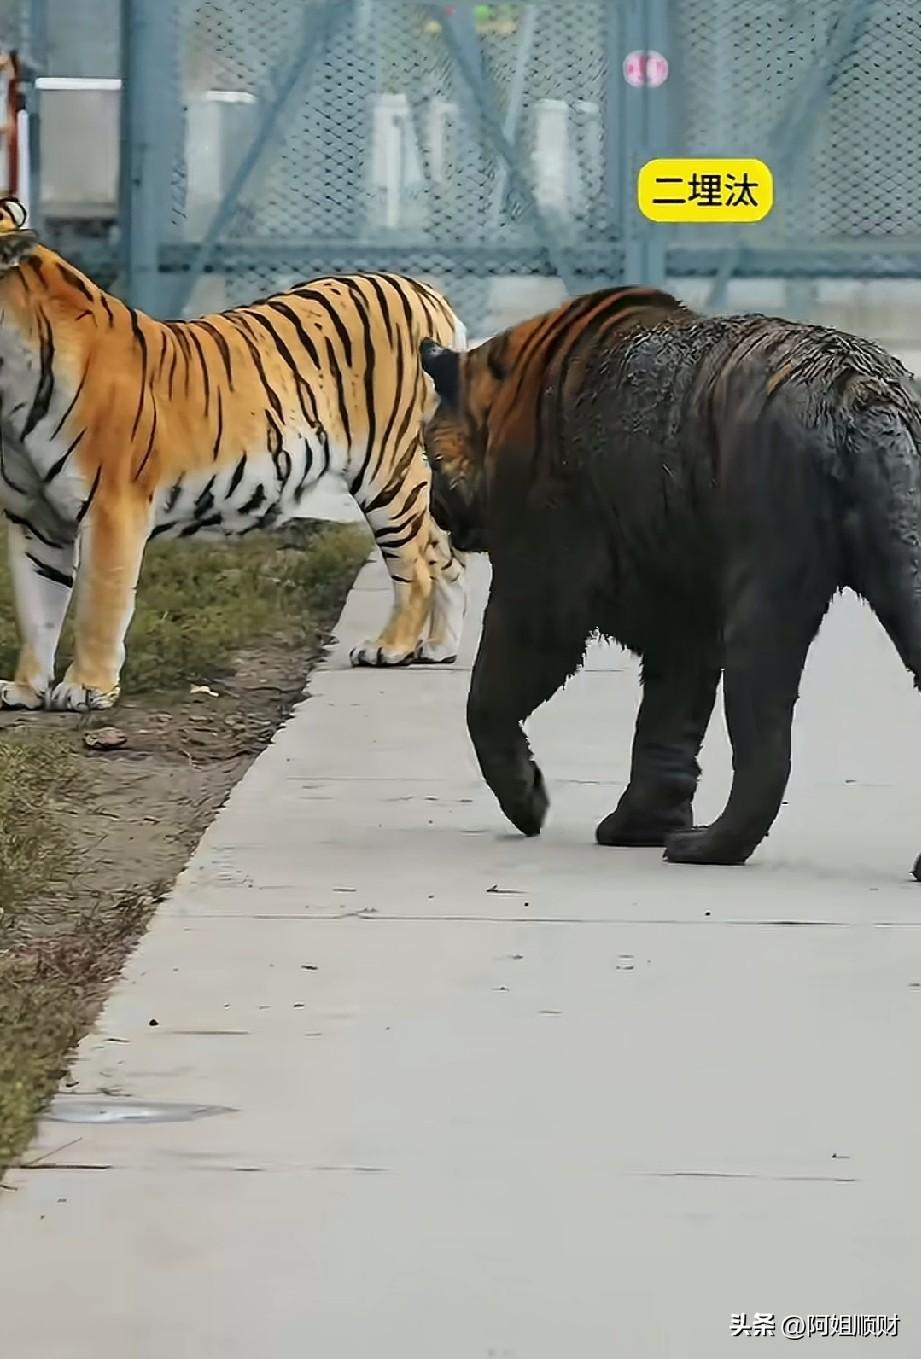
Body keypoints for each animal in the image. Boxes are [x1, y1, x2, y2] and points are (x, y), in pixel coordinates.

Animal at [0, 198, 468, 713]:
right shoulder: (33, 519)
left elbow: (98, 605)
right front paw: (24, 689)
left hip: (387, 469)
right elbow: (35, 609)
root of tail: (425, 290)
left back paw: (391, 648)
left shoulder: (111, 509)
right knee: (445, 553)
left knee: (414, 565)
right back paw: (438, 647)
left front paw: (86, 687)